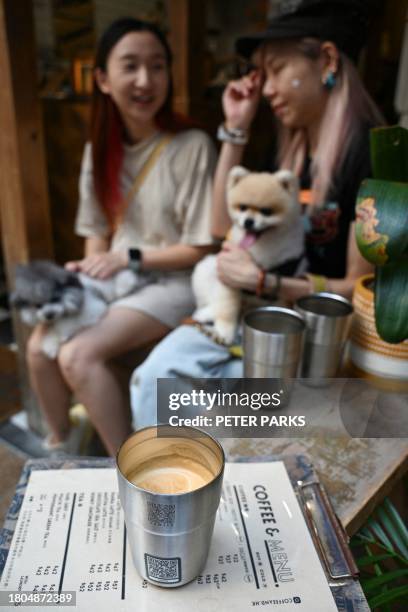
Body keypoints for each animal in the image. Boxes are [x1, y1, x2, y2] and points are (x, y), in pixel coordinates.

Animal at [193, 166, 304, 344]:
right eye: (243, 207)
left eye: (266, 211)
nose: (248, 221)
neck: (261, 246)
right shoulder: (227, 274)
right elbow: (228, 305)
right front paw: (225, 331)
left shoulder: (289, 266)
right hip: (207, 268)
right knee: (215, 303)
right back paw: (207, 313)